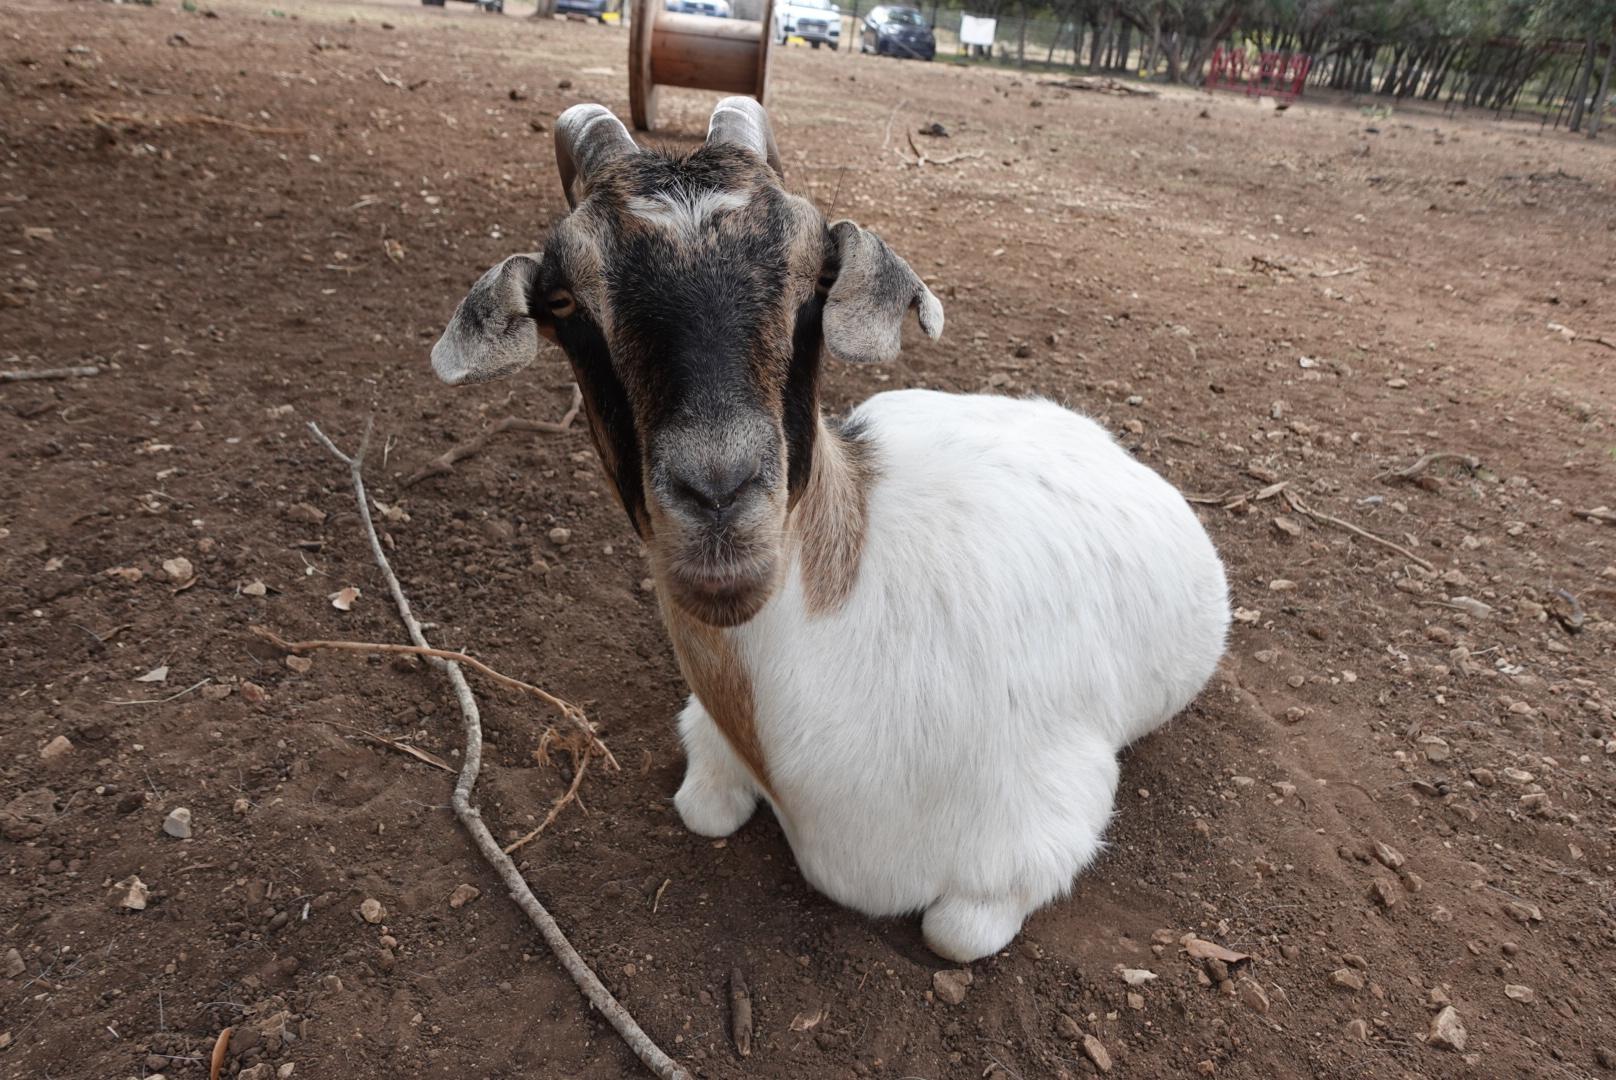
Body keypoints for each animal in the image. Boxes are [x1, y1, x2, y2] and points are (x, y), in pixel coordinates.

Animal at [430, 98, 1229, 962]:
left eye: (818, 274)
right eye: (564, 302)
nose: (719, 495)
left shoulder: (1044, 824)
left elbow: (954, 930)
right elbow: (702, 808)